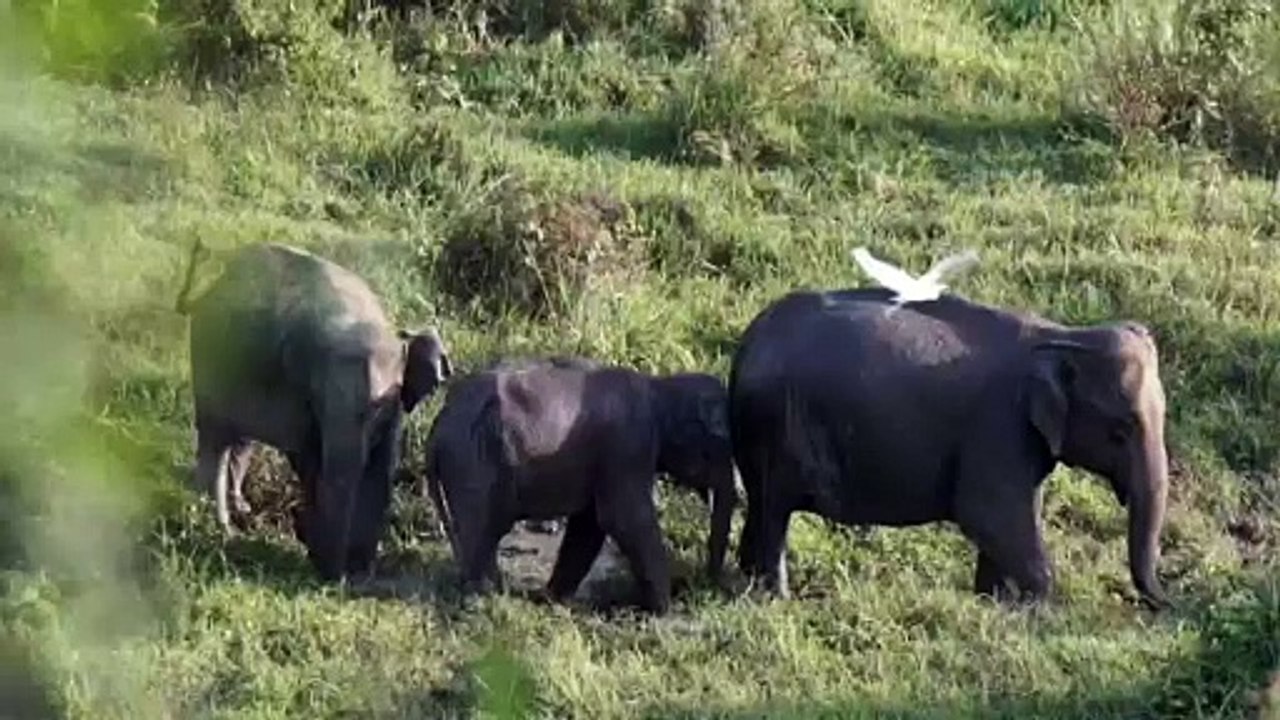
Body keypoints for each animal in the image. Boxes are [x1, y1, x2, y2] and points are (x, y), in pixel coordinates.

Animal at [174, 239, 452, 582]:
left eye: (380, 407)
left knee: (238, 439)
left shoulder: (395, 410)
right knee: (216, 436)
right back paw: (218, 524)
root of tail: (211, 287)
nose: (335, 578)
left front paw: (360, 572)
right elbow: (312, 462)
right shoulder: (299, 403)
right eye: (318, 396)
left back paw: (238, 511)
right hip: (209, 354)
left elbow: (380, 470)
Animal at [421, 356, 737, 614]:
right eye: (718, 447)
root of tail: (438, 426)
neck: (659, 388)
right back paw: (486, 596)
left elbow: (590, 525)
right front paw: (665, 608)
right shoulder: (626, 447)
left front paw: (553, 598)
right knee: (483, 527)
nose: (706, 586)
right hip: (472, 463)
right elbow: (624, 519)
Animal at [729, 286, 1171, 610]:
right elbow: (988, 514)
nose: (1163, 603)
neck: (1062, 335)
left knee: (761, 508)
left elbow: (1011, 517)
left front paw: (993, 605)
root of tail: (746, 344)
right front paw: (1037, 610)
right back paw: (776, 599)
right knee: (774, 513)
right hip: (775, 430)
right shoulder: (997, 424)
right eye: (1120, 430)